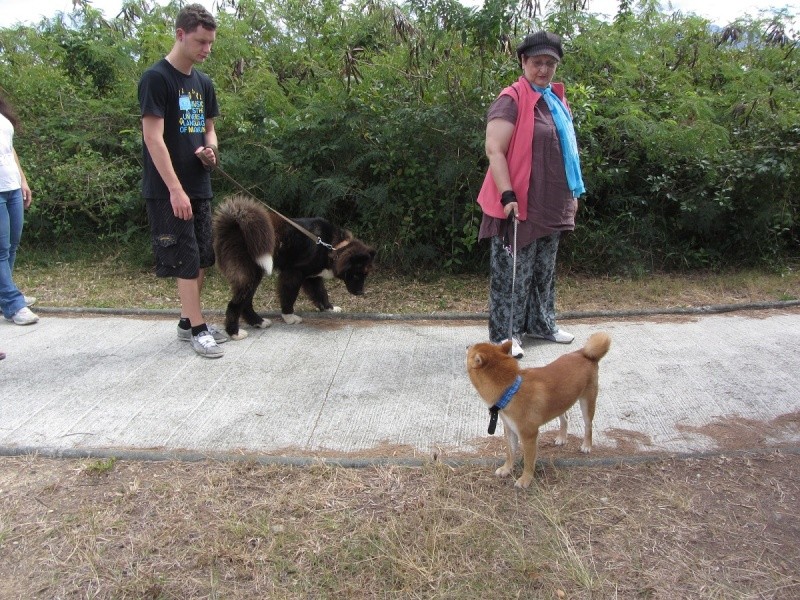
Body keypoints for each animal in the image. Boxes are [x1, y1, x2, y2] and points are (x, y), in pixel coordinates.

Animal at [212, 196, 376, 340]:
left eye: (365, 274)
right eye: (355, 274)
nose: (361, 293)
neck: (330, 246)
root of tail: (234, 225)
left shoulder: (313, 276)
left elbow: (321, 293)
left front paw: (329, 308)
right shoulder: (293, 273)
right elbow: (289, 295)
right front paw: (289, 316)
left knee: (245, 302)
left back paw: (258, 322)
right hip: (250, 274)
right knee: (235, 304)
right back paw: (234, 332)